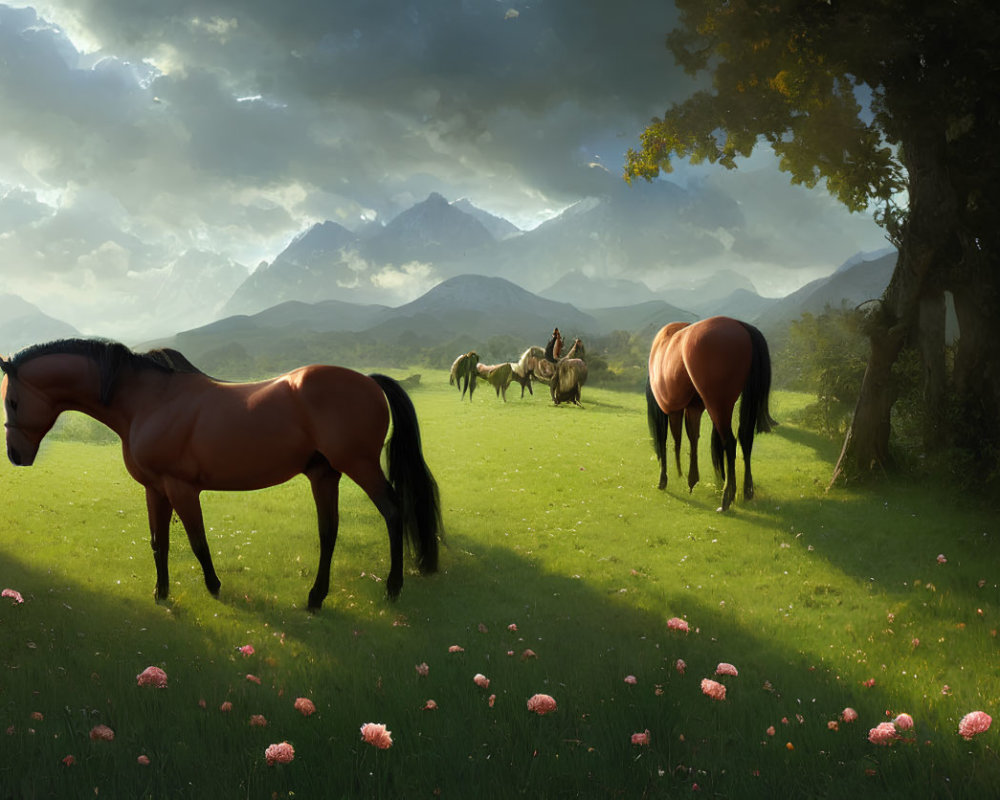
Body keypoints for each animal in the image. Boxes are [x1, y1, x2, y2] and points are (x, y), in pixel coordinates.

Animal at [0, 340, 440, 608]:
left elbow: (198, 542)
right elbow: (158, 543)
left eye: (12, 400)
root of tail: (369, 380)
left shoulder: (181, 488)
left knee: (393, 512)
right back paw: (316, 597)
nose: (15, 455)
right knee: (328, 531)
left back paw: (392, 587)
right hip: (324, 474)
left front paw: (213, 587)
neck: (148, 400)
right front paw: (161, 593)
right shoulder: (155, 489)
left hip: (359, 466)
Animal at [644, 316, 776, 510]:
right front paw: (692, 479)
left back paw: (726, 498)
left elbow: (664, 439)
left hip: (717, 404)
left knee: (730, 442)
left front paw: (664, 480)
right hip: (736, 403)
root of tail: (740, 325)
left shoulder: (662, 409)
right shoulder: (692, 407)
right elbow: (692, 437)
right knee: (745, 439)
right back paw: (746, 491)